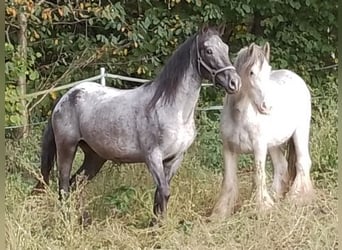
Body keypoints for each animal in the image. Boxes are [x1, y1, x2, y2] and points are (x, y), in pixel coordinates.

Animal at [211, 42, 316, 218]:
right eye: (251, 72)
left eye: (268, 71)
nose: (267, 106)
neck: (239, 116)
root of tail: (296, 77)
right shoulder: (228, 148)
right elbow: (228, 181)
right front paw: (220, 212)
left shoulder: (259, 147)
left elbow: (258, 176)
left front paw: (262, 208)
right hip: (274, 144)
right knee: (281, 166)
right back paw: (276, 195)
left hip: (300, 132)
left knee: (303, 161)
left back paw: (296, 197)